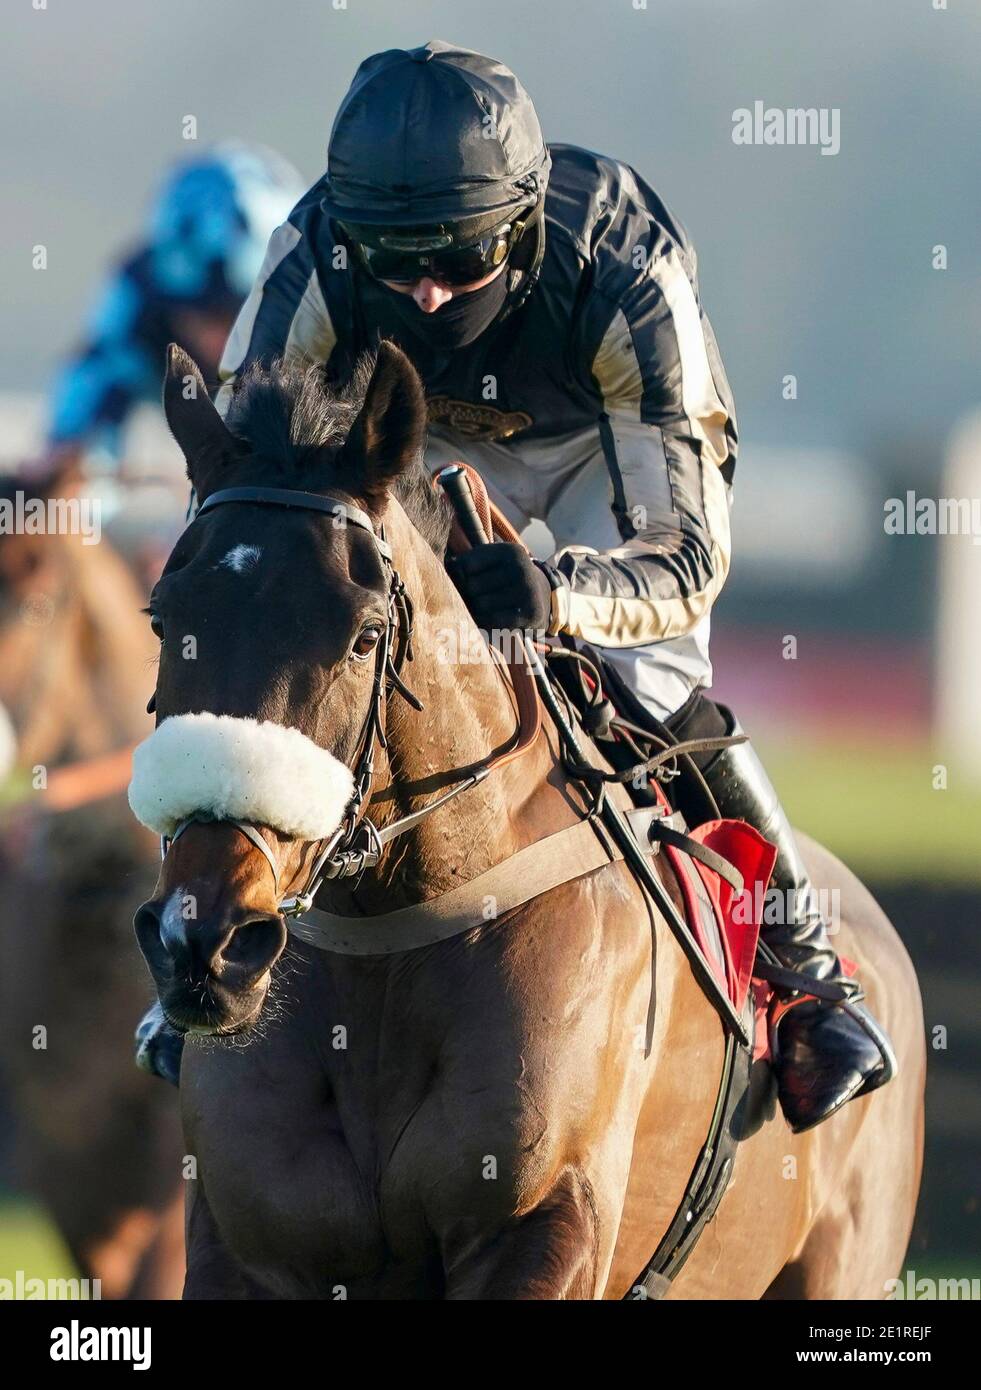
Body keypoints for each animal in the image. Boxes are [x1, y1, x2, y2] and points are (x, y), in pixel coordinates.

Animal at [132, 341, 922, 1295]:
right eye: (164, 619)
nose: (202, 936)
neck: (389, 936)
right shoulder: (248, 1246)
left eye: (363, 637)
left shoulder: (542, 1227)